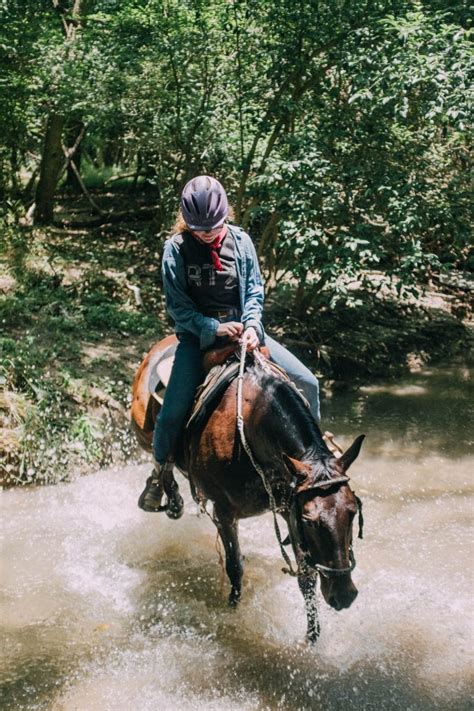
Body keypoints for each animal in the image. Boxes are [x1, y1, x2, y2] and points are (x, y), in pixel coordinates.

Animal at [131, 336, 364, 644]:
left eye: (352, 512)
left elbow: (306, 577)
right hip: (147, 431)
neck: (252, 426)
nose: (344, 595)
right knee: (162, 452)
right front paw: (233, 613)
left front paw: (311, 638)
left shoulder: (289, 505)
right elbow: (234, 567)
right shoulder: (224, 512)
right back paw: (163, 496)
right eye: (310, 521)